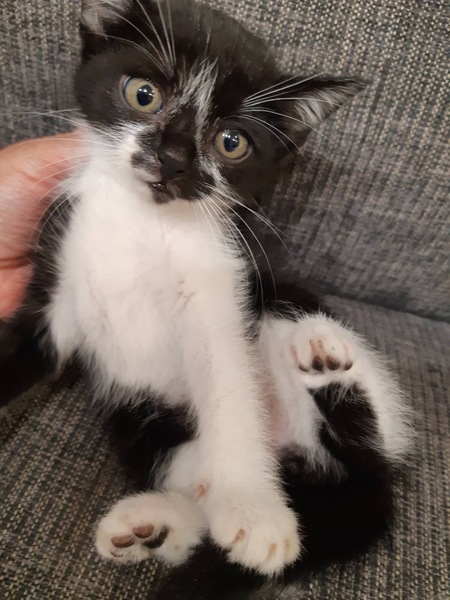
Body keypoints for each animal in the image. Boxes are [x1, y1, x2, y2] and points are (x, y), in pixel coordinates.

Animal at [2, 0, 412, 579]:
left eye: (231, 142)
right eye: (142, 94)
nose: (172, 158)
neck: (141, 220)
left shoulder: (218, 289)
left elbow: (230, 394)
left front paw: (254, 511)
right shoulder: (56, 274)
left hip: (281, 300)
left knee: (362, 441)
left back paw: (323, 354)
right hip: (147, 426)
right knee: (209, 482)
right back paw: (152, 527)